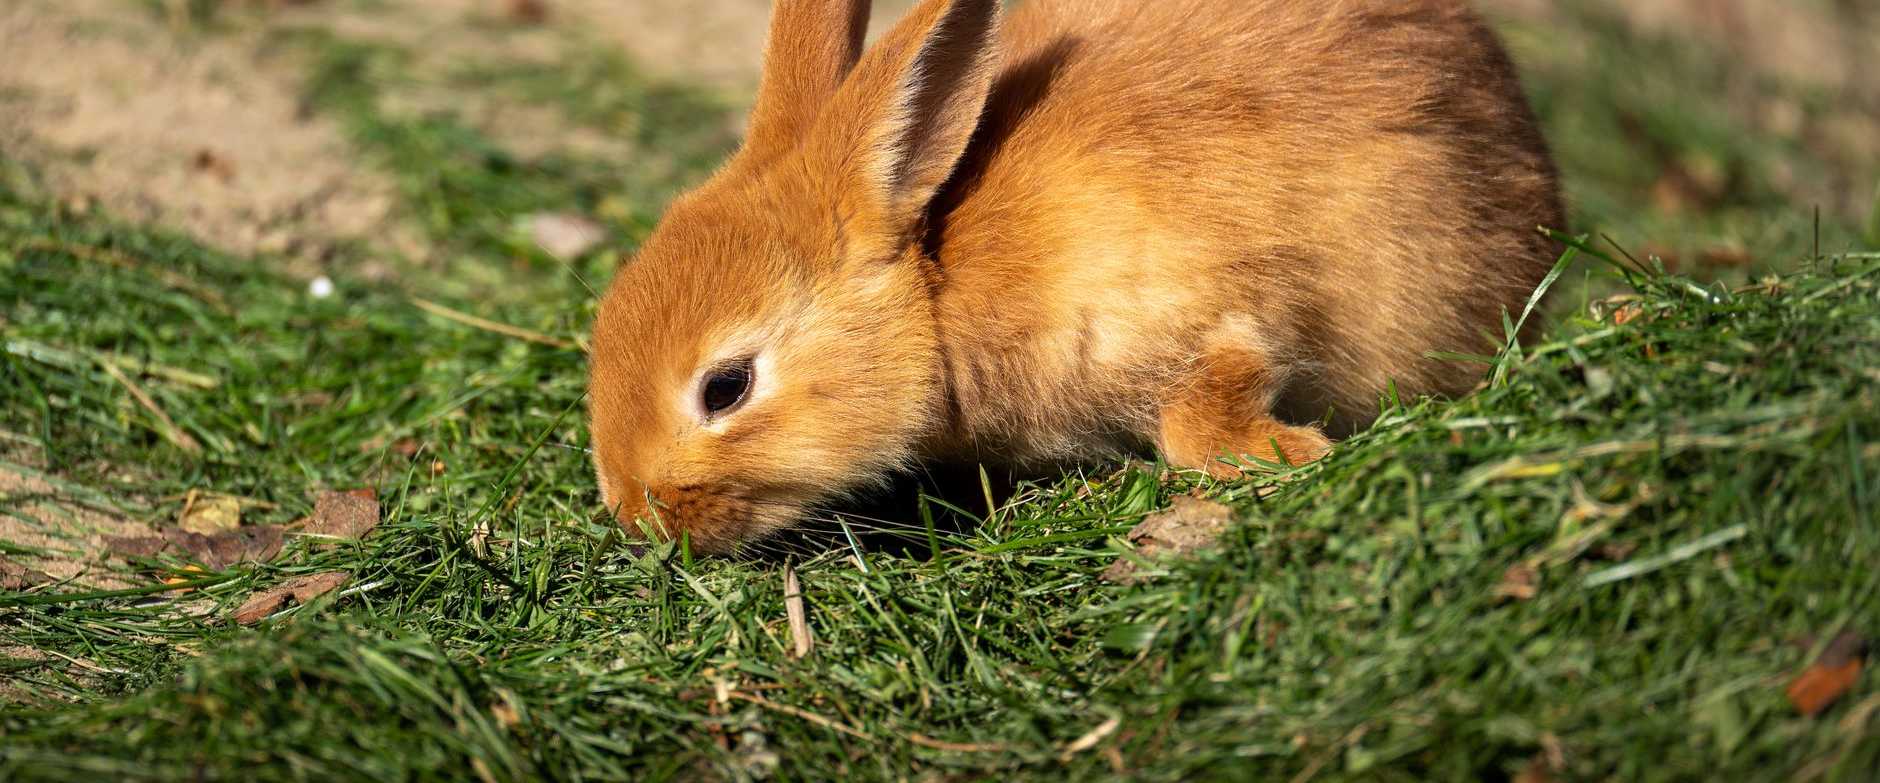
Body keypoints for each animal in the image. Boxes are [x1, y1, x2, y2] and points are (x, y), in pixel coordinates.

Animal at [587, 0, 1564, 553]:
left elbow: (1204, 413)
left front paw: (1290, 454)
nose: (640, 519)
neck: (936, 287)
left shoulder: (1210, 314)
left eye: (726, 386)